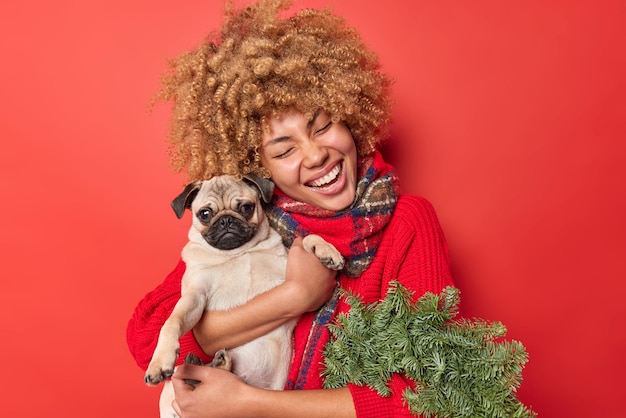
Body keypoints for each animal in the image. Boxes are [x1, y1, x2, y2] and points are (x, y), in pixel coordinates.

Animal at [144, 175, 344, 416]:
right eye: (205, 214)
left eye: (246, 208)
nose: (226, 220)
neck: (238, 253)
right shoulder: (194, 296)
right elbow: (172, 321)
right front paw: (159, 362)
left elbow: (307, 238)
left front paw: (326, 251)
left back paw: (217, 363)